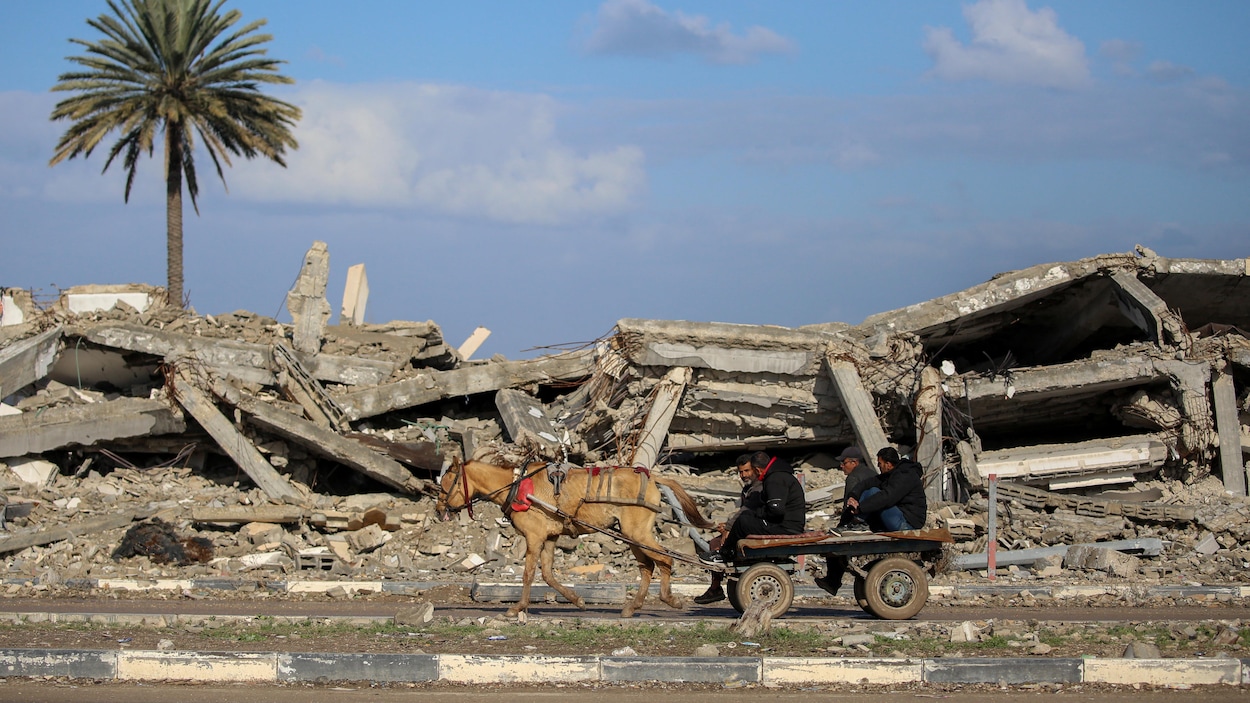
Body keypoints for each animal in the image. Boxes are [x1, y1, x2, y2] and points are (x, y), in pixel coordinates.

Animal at [437, 460, 715, 612]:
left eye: (445, 484)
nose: (439, 511)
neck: (517, 486)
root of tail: (652, 476)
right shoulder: (549, 537)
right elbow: (548, 575)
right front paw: (577, 600)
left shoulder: (534, 537)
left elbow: (528, 574)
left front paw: (517, 607)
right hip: (632, 534)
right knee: (647, 566)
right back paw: (632, 606)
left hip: (637, 532)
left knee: (664, 559)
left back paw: (669, 599)